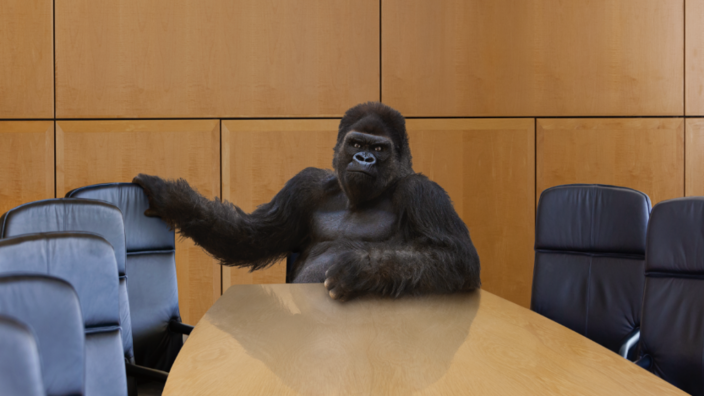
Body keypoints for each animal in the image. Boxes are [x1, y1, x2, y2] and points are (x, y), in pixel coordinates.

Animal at [135, 102, 482, 300]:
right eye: (357, 143)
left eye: (379, 148)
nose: (364, 159)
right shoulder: (305, 187)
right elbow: (251, 237)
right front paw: (172, 199)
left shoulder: (423, 193)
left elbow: (456, 258)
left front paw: (357, 270)